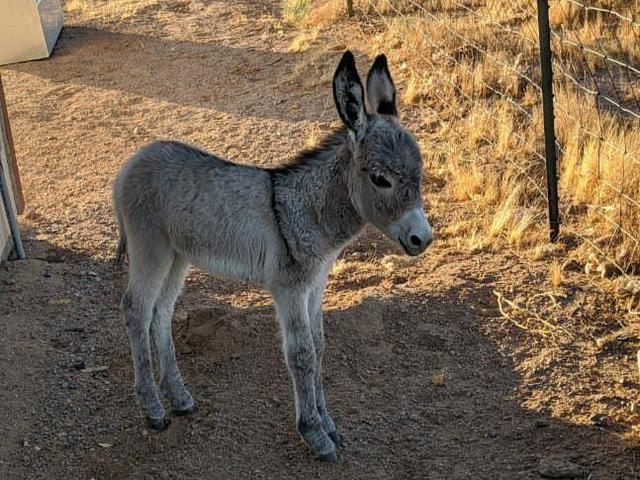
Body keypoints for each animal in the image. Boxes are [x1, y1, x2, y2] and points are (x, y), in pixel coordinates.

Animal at [115, 49, 436, 462]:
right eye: (381, 179)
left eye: (420, 174)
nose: (422, 239)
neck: (310, 209)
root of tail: (134, 161)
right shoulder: (289, 290)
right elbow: (302, 354)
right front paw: (315, 434)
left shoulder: (316, 285)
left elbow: (319, 345)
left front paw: (328, 422)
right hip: (149, 248)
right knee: (136, 309)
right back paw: (153, 409)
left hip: (176, 255)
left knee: (162, 312)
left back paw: (179, 397)